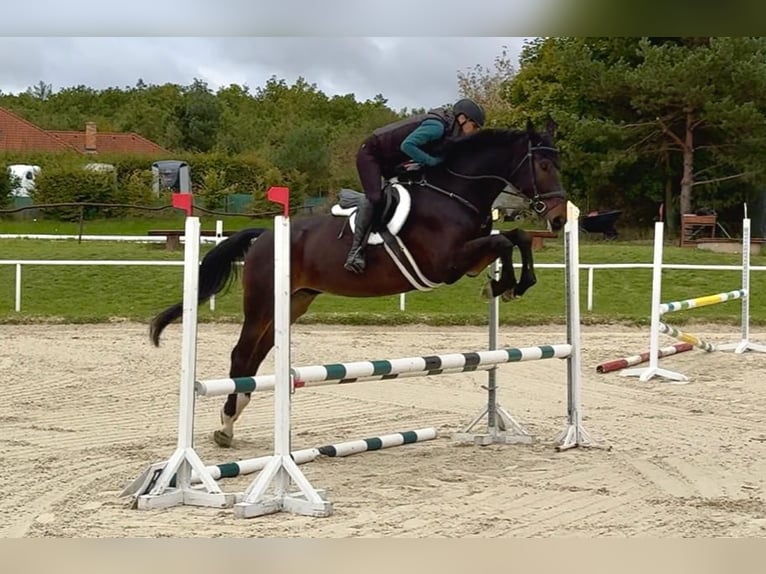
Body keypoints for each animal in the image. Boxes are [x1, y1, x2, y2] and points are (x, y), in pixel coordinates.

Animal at [150, 118, 567, 447]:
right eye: (544, 164)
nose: (560, 218)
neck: (454, 194)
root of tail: (264, 235)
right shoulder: (446, 265)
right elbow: (504, 241)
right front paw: (503, 287)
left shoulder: (469, 258)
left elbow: (515, 237)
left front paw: (512, 285)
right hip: (263, 302)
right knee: (241, 354)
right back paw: (226, 425)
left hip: (294, 303)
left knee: (256, 356)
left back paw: (232, 418)